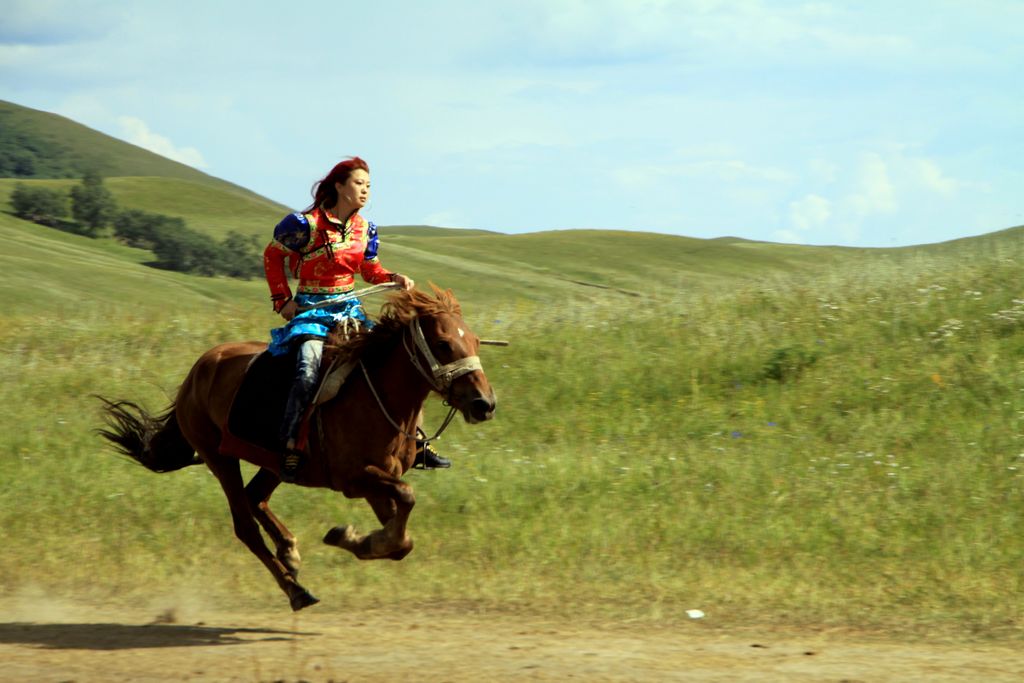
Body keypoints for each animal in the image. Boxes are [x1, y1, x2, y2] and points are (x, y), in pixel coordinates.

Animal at [96, 286, 495, 610]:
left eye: (475, 341)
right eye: (443, 343)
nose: (484, 403)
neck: (377, 396)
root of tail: (199, 370)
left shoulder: (380, 481)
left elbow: (402, 539)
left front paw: (356, 540)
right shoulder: (355, 479)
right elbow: (408, 499)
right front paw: (348, 537)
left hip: (277, 462)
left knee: (255, 496)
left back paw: (289, 551)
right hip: (218, 456)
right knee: (245, 525)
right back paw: (295, 590)